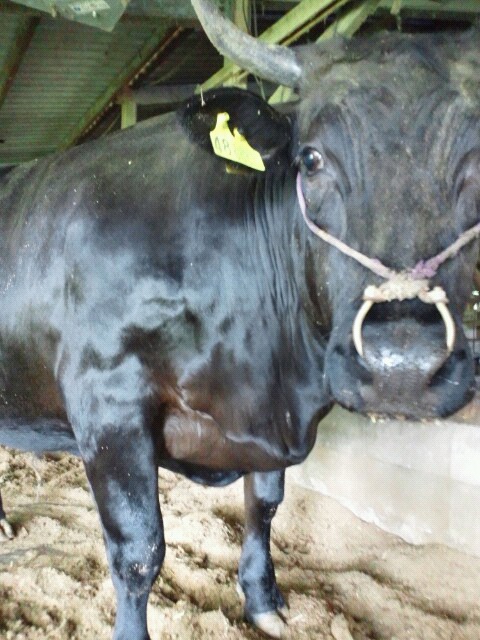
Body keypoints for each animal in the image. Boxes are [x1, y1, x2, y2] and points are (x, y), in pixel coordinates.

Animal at [0, 0, 479, 637]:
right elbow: (138, 550)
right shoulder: (107, 401)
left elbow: (265, 505)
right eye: (311, 158)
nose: (402, 364)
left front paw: (262, 598)